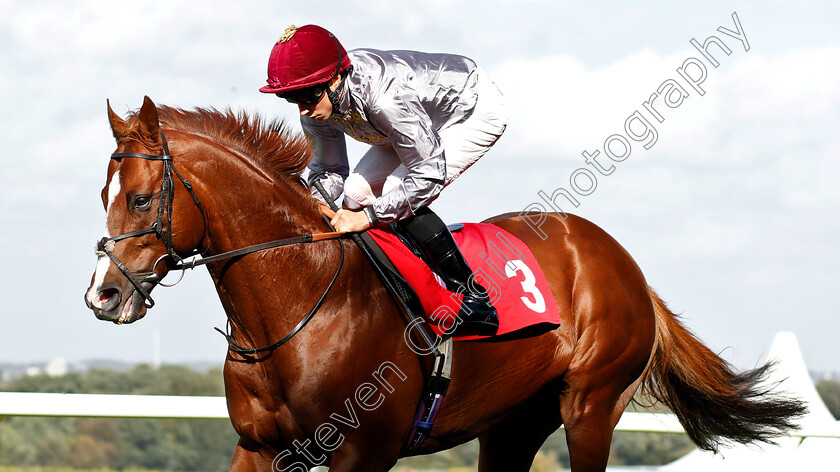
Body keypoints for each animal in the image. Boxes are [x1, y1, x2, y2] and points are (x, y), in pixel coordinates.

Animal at [87, 97, 808, 472]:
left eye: (143, 199)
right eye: (103, 195)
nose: (103, 294)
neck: (296, 309)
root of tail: (620, 261)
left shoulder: (362, 453)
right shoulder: (260, 448)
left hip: (592, 407)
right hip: (514, 423)